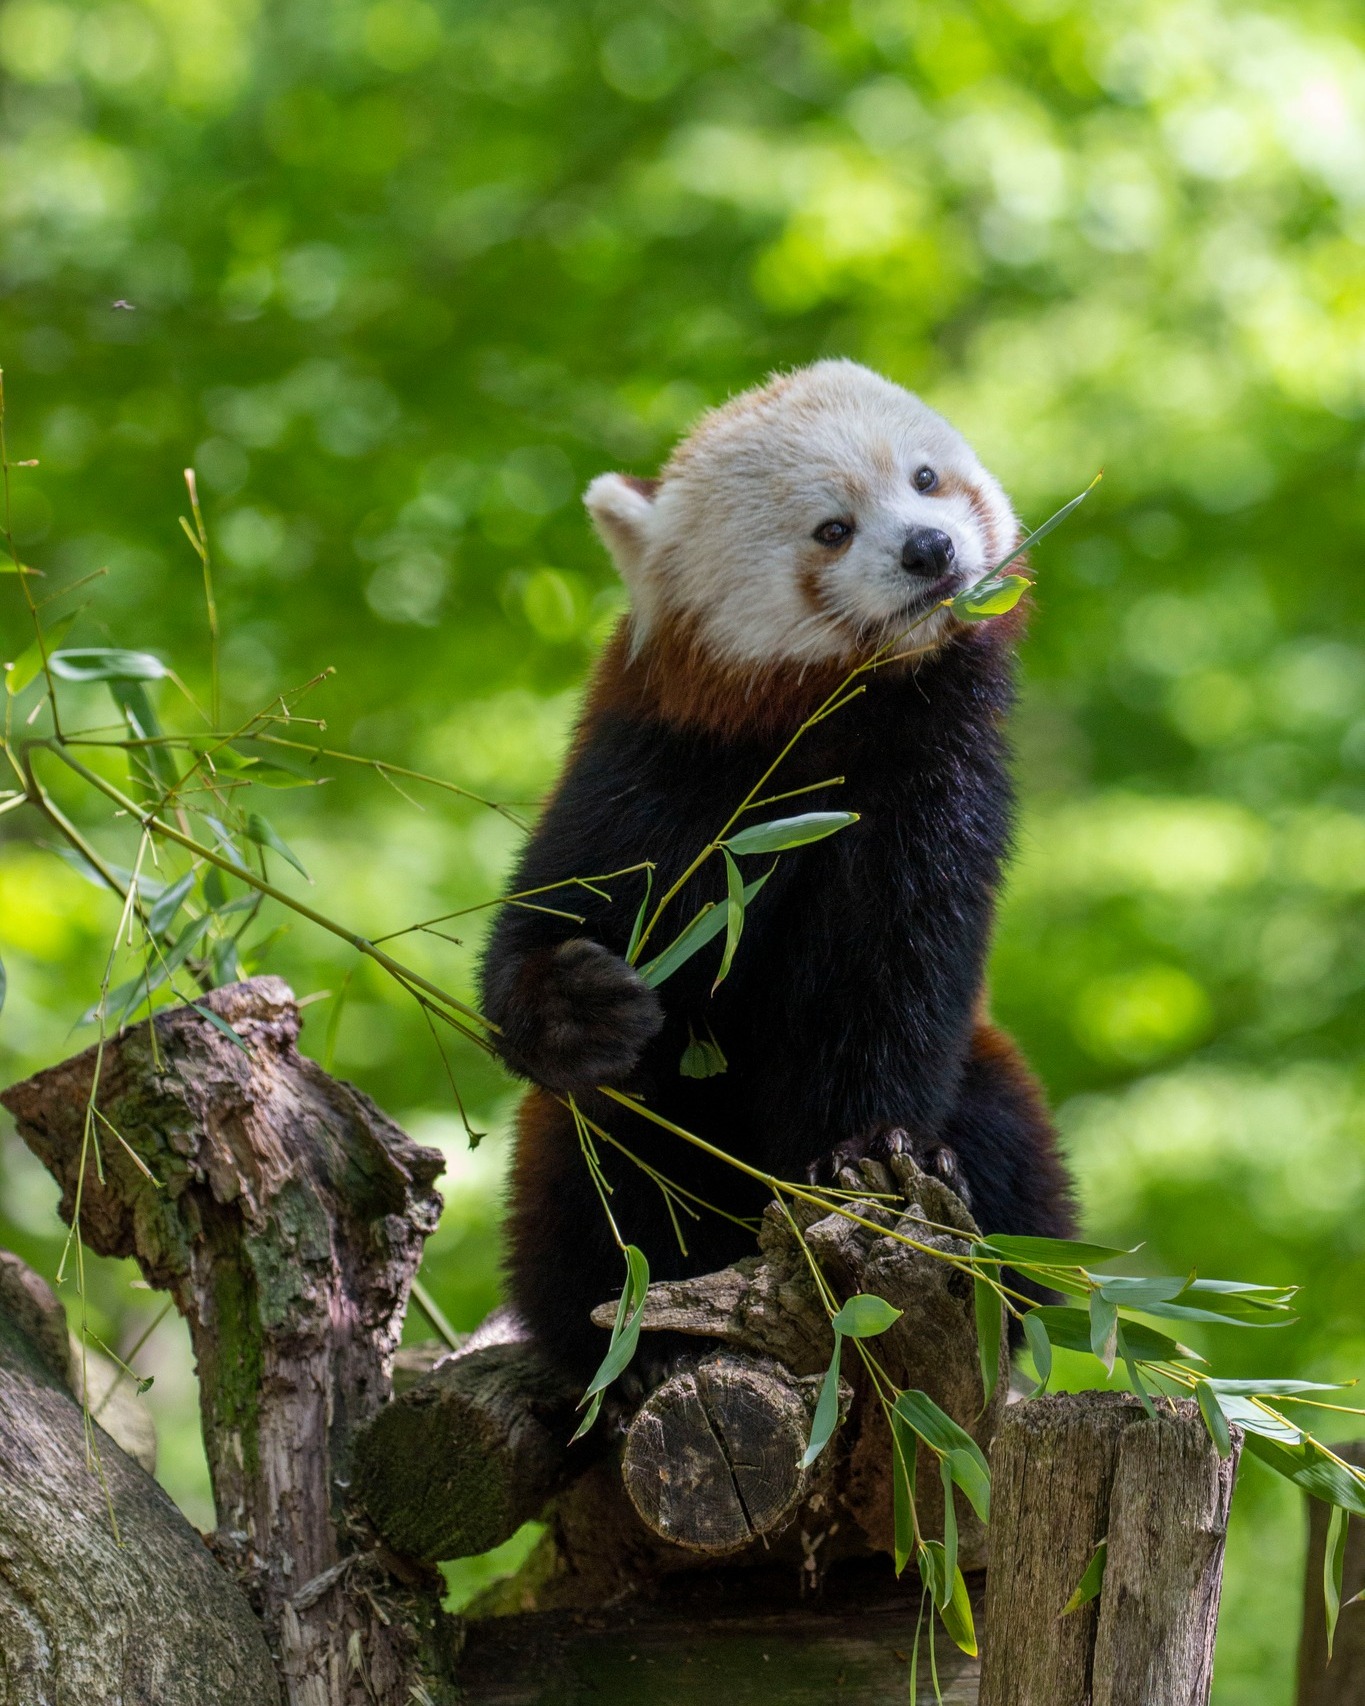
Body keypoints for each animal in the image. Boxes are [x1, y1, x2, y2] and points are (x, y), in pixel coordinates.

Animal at [481, 360, 1076, 1380]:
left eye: (924, 479)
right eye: (831, 528)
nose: (928, 547)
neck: (828, 726)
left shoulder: (931, 786)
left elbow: (887, 984)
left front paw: (861, 1154)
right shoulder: (663, 771)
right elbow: (550, 916)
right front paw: (575, 1002)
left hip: (997, 1090)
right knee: (605, 1177)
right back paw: (638, 1349)